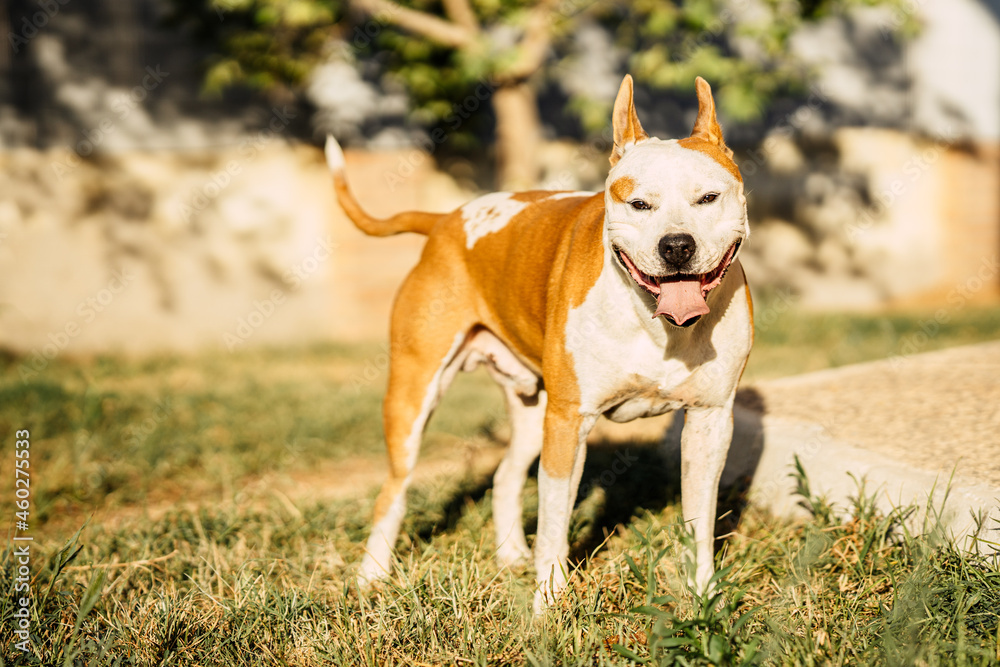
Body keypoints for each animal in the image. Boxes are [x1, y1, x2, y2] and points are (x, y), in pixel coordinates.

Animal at [324, 75, 752, 612]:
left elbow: (699, 517)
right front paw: (547, 602)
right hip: (414, 394)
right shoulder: (569, 422)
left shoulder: (710, 422)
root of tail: (446, 219)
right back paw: (371, 577)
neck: (659, 325)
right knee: (395, 489)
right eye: (639, 204)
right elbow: (554, 520)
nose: (676, 245)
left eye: (708, 198)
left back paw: (510, 557)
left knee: (505, 476)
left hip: (529, 409)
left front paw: (703, 596)